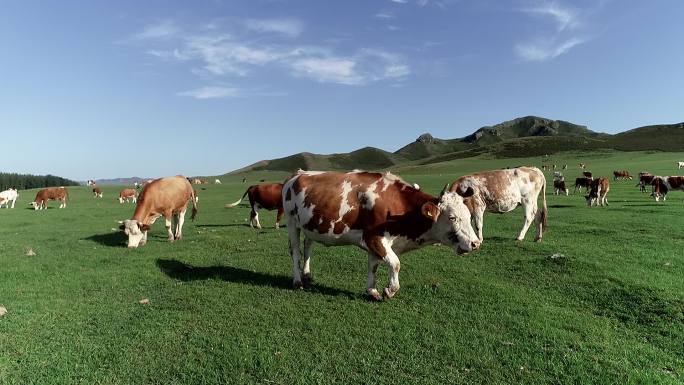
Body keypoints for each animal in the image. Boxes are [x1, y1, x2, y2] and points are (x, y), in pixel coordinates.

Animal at [280, 171, 478, 300]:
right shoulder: (374, 238)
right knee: (295, 251)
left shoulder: (375, 243)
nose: (476, 243)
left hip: (310, 226)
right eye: (452, 217)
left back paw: (307, 274)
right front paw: (389, 290)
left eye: (469, 215)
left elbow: (373, 266)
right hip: (291, 222)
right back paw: (297, 281)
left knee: (308, 247)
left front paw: (372, 291)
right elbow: (395, 263)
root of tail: (298, 174)